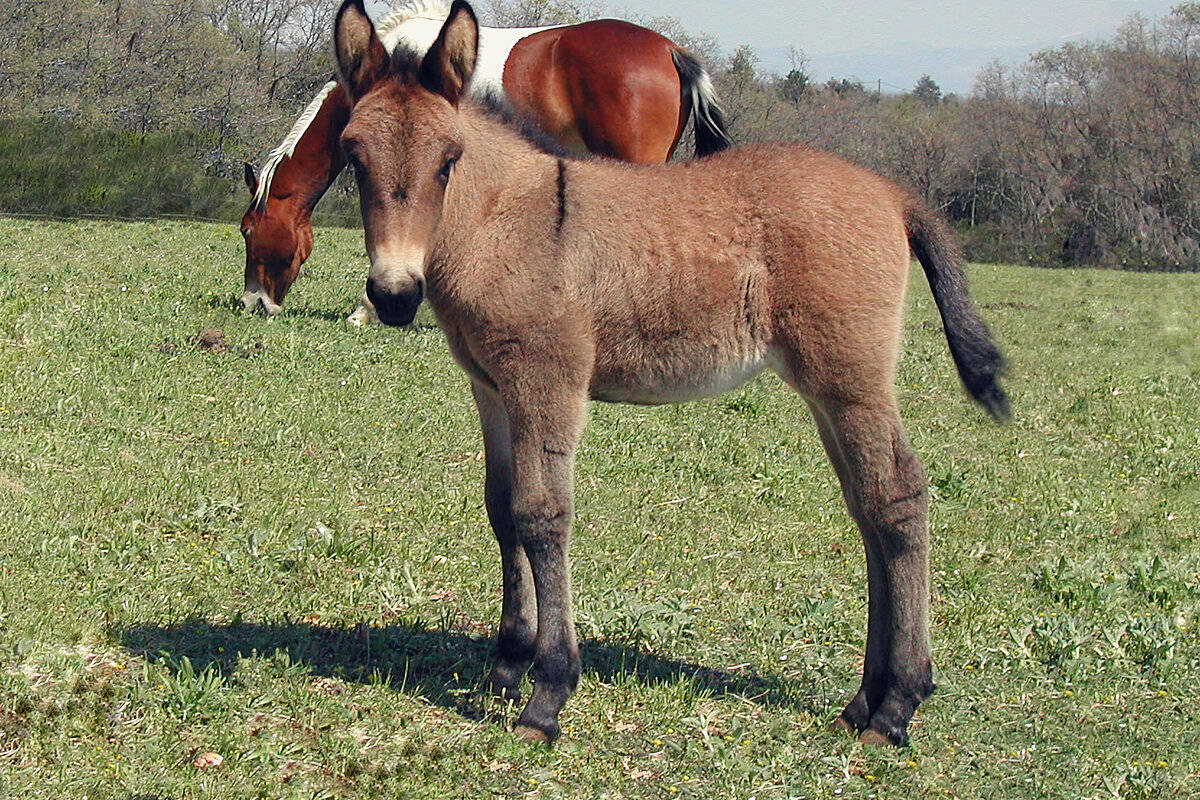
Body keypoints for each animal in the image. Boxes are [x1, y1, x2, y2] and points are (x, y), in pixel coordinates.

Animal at [328, 0, 1003, 753]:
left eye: (449, 161)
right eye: (353, 156)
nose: (392, 296)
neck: (505, 221)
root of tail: (893, 193)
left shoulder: (547, 381)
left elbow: (542, 515)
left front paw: (547, 693)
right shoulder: (492, 388)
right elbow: (502, 512)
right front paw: (506, 662)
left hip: (850, 378)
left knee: (899, 498)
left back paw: (898, 705)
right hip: (827, 387)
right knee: (868, 507)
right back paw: (864, 703)